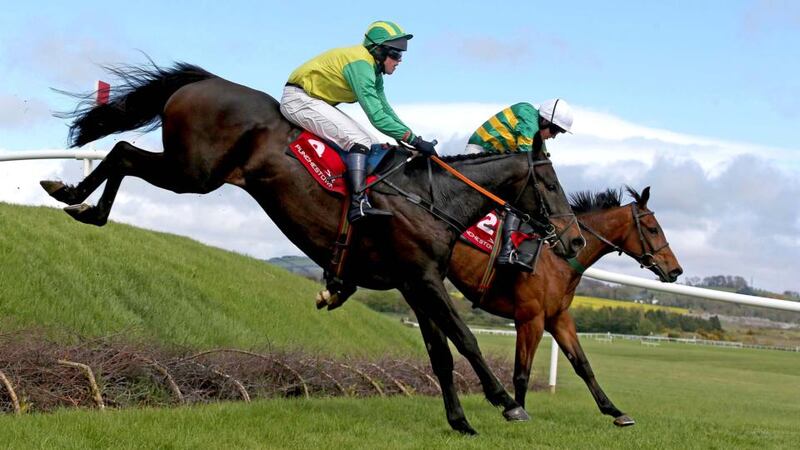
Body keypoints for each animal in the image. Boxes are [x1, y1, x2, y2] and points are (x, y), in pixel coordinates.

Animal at [40, 61, 584, 434]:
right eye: (552, 184)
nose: (575, 238)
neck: (433, 198)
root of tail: (205, 81)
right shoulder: (425, 279)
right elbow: (467, 341)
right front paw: (506, 403)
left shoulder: (413, 284)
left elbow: (441, 355)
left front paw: (460, 422)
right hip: (193, 172)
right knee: (123, 153)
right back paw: (77, 198)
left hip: (190, 171)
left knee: (123, 154)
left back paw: (77, 200)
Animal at [446, 185, 684, 426]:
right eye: (653, 229)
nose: (676, 270)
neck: (557, 257)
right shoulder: (531, 318)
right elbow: (522, 373)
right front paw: (518, 411)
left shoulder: (558, 317)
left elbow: (583, 365)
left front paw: (614, 410)